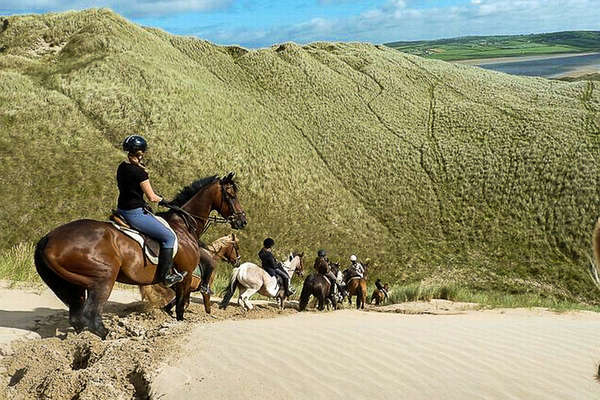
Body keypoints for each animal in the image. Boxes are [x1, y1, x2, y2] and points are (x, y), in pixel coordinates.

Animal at [34, 173, 246, 338]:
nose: (242, 221)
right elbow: (180, 309)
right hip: (103, 279)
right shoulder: (184, 279)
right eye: (231, 195)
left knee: (77, 317)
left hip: (75, 285)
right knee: (90, 317)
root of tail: (49, 238)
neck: (183, 225)